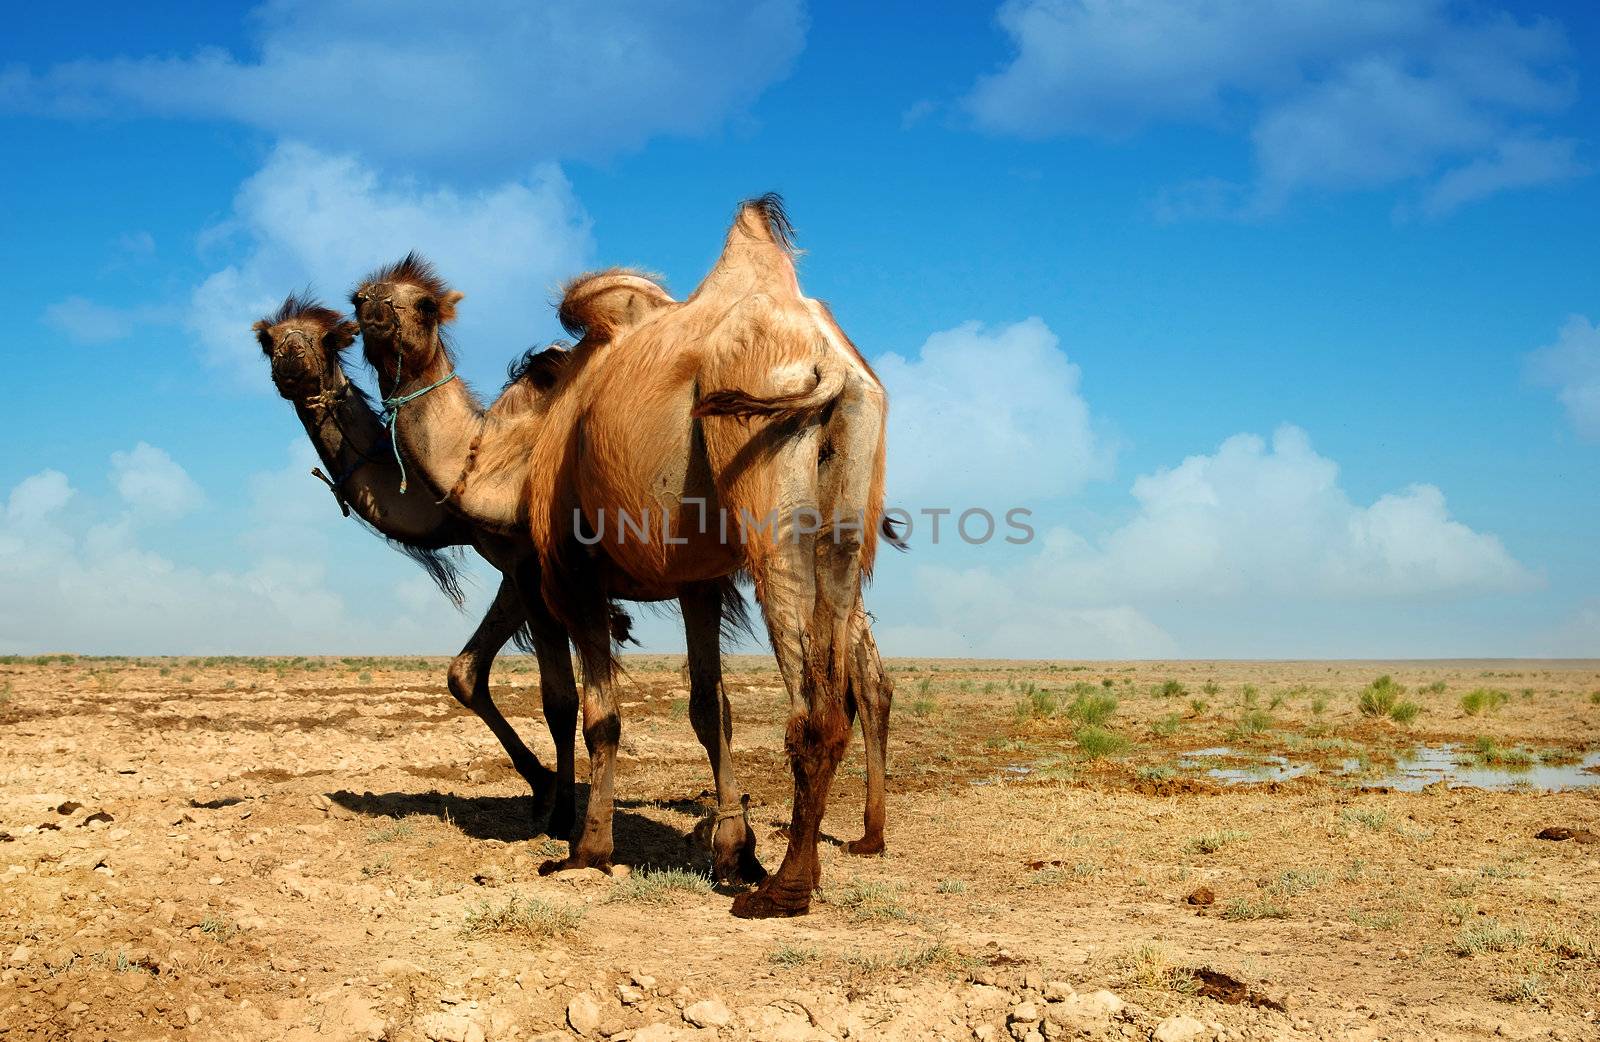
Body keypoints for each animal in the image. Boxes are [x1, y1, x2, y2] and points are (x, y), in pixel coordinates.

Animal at [252, 297, 764, 883]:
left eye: (327, 339)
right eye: (270, 341)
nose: (290, 360)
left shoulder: (536, 572)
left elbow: (559, 699)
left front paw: (559, 809)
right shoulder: (515, 573)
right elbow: (467, 674)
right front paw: (548, 793)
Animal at [355, 193, 896, 915]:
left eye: (423, 304)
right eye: (360, 297)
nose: (372, 308)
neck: (513, 455)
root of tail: (828, 360)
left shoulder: (567, 570)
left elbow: (596, 715)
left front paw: (585, 849)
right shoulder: (697, 580)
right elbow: (710, 710)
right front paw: (733, 850)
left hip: (763, 475)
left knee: (815, 696)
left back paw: (785, 889)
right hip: (847, 502)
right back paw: (829, 855)